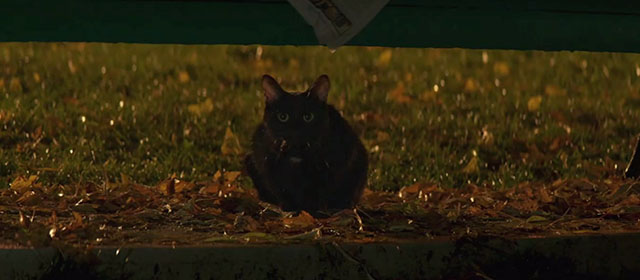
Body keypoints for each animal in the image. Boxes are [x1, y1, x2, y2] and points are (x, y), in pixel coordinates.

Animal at [242, 74, 368, 214]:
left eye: (308, 117)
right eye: (283, 117)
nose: (295, 130)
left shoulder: (334, 166)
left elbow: (318, 193)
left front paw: (312, 212)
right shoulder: (267, 165)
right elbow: (283, 192)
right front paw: (290, 211)